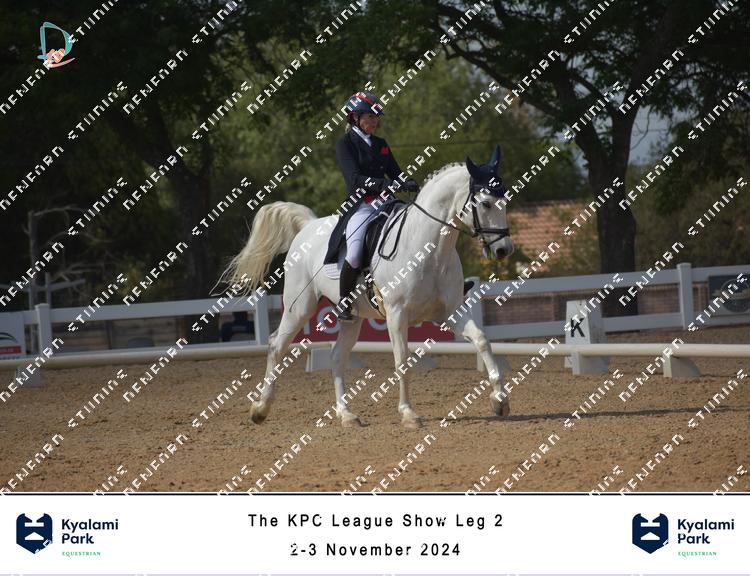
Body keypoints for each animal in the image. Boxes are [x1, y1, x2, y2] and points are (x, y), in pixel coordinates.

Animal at [224, 145, 514, 428]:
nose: (504, 250)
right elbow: (402, 360)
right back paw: (260, 409)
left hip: (351, 318)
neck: (428, 249)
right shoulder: (397, 314)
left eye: (505, 201)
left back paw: (346, 415)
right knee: (277, 345)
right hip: (300, 307)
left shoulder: (449, 312)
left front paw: (500, 400)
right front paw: (408, 414)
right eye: (486, 203)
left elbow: (482, 340)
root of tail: (308, 227)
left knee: (337, 357)